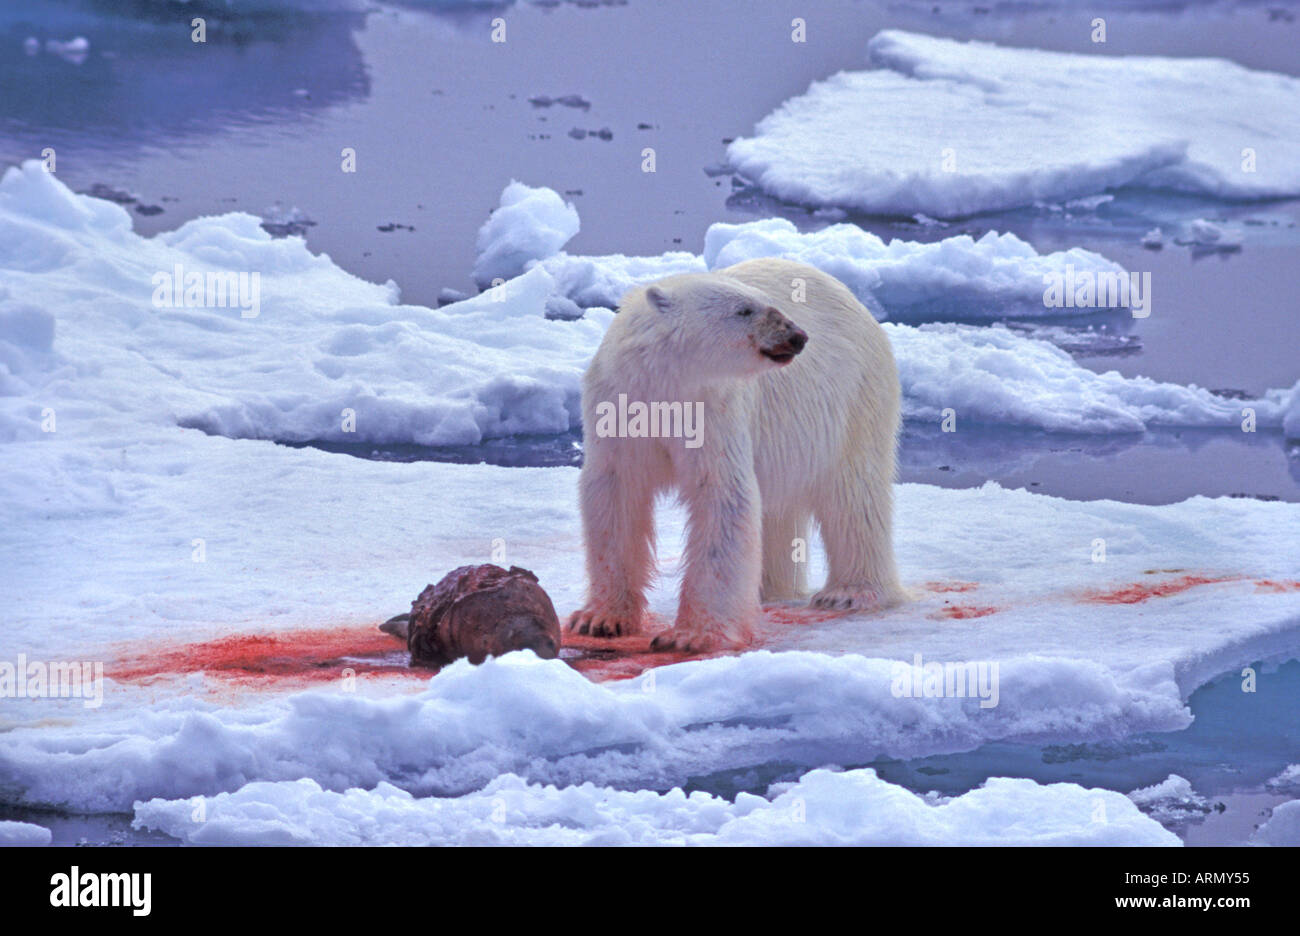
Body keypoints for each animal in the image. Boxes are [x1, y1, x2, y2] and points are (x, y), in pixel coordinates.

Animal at [569, 256, 904, 650]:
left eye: (770, 303)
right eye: (744, 310)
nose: (797, 335)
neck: (664, 385)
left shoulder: (713, 409)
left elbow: (723, 497)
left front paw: (690, 635)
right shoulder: (618, 407)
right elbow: (615, 496)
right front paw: (599, 619)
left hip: (854, 397)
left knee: (852, 494)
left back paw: (849, 593)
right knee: (778, 510)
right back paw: (767, 590)